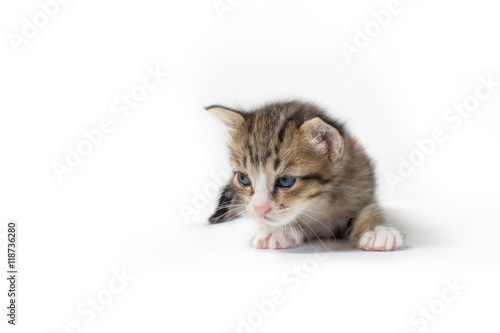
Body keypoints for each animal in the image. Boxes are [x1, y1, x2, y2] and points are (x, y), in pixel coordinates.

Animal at [206, 100, 402, 250]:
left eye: (285, 181)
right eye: (243, 179)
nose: (259, 209)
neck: (317, 204)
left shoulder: (361, 186)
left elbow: (369, 208)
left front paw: (377, 231)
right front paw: (278, 230)